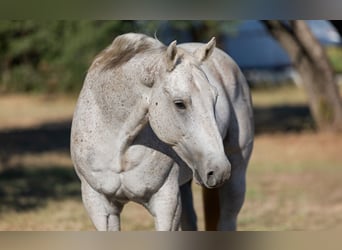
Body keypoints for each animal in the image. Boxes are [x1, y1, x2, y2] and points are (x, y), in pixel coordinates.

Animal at [70, 32, 254, 230]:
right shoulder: (100, 205)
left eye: (215, 97)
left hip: (236, 173)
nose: (219, 170)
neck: (119, 148)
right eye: (179, 103)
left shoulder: (166, 204)